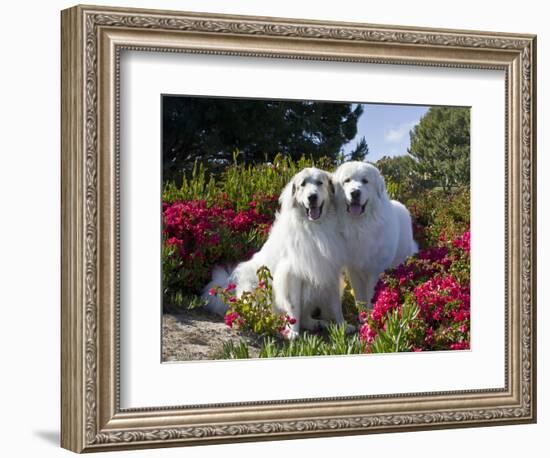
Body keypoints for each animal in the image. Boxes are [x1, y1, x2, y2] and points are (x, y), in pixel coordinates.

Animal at [203, 166, 350, 338]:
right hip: (253, 285)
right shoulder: (292, 274)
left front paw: (343, 326)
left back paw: (317, 323)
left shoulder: (330, 270)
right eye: (303, 184)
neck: (315, 227)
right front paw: (293, 331)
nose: (312, 197)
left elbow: (336, 305)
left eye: (320, 183)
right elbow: (294, 306)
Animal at [334, 161, 420, 308]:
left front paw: (372, 312)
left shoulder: (375, 271)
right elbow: (360, 298)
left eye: (365, 181)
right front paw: (363, 314)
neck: (360, 225)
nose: (355, 193)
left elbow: (371, 298)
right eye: (347, 180)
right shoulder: (354, 271)